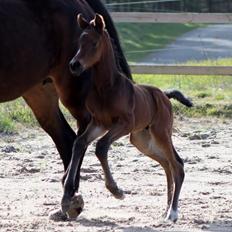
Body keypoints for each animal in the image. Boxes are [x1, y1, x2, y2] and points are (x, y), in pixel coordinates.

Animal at [62, 13, 191, 222]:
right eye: (80, 41)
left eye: (94, 43)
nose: (74, 65)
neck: (106, 87)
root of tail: (164, 95)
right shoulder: (99, 123)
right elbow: (79, 143)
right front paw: (67, 197)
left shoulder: (124, 123)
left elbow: (101, 146)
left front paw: (116, 191)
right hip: (141, 139)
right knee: (166, 164)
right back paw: (166, 209)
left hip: (161, 133)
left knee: (177, 165)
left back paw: (172, 213)